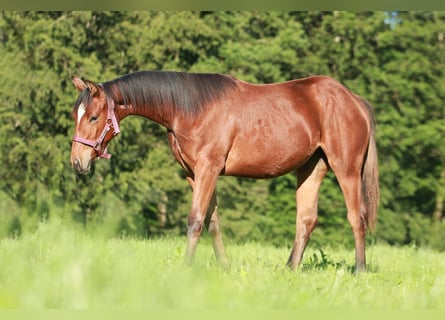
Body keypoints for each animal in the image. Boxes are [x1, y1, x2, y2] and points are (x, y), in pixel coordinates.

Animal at [69, 70, 378, 272]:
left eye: (94, 117)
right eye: (76, 115)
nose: (77, 163)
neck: (191, 108)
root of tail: (354, 100)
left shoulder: (209, 167)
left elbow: (195, 220)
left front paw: (186, 268)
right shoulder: (195, 174)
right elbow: (212, 222)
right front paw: (224, 267)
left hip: (346, 168)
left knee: (356, 217)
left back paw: (359, 270)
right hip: (311, 168)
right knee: (306, 219)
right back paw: (290, 269)